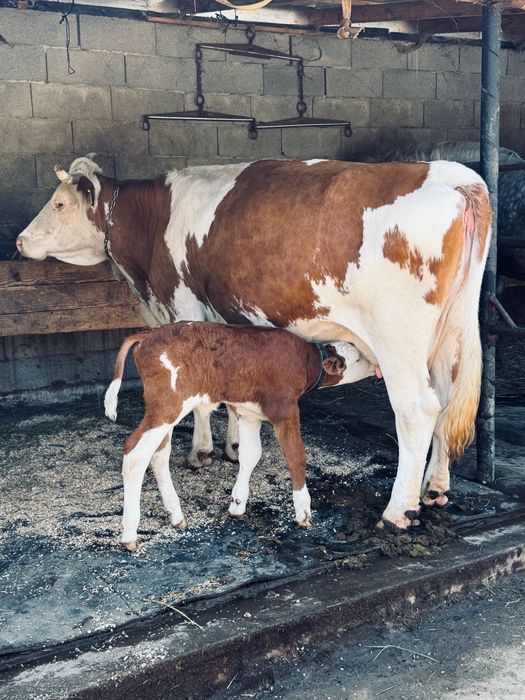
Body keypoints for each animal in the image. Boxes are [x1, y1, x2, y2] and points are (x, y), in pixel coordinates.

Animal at [104, 321, 374, 549]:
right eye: (359, 356)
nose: (375, 364)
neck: (305, 360)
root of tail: (150, 333)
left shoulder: (249, 413)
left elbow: (251, 454)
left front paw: (237, 503)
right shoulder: (285, 410)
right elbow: (296, 455)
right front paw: (303, 512)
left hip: (166, 411)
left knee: (158, 455)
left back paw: (176, 515)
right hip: (167, 406)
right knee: (135, 454)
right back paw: (129, 533)